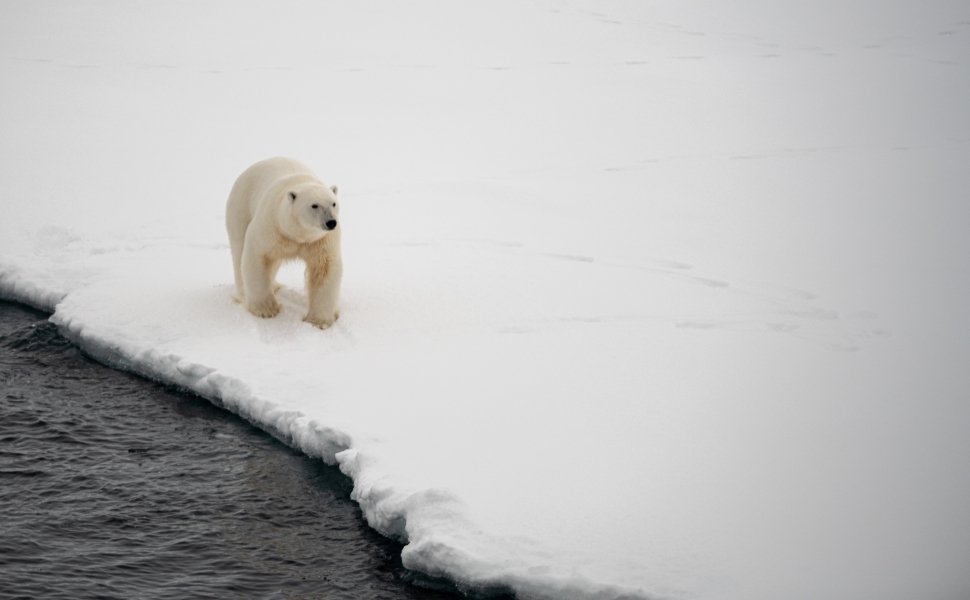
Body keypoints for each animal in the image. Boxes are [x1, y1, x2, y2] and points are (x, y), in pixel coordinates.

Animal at [225, 157, 342, 328]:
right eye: (314, 205)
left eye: (333, 203)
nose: (331, 222)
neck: (297, 234)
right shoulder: (271, 226)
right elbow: (257, 256)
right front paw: (266, 310)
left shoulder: (320, 241)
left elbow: (325, 269)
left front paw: (319, 321)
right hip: (240, 206)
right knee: (239, 250)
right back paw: (243, 295)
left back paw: (275, 285)